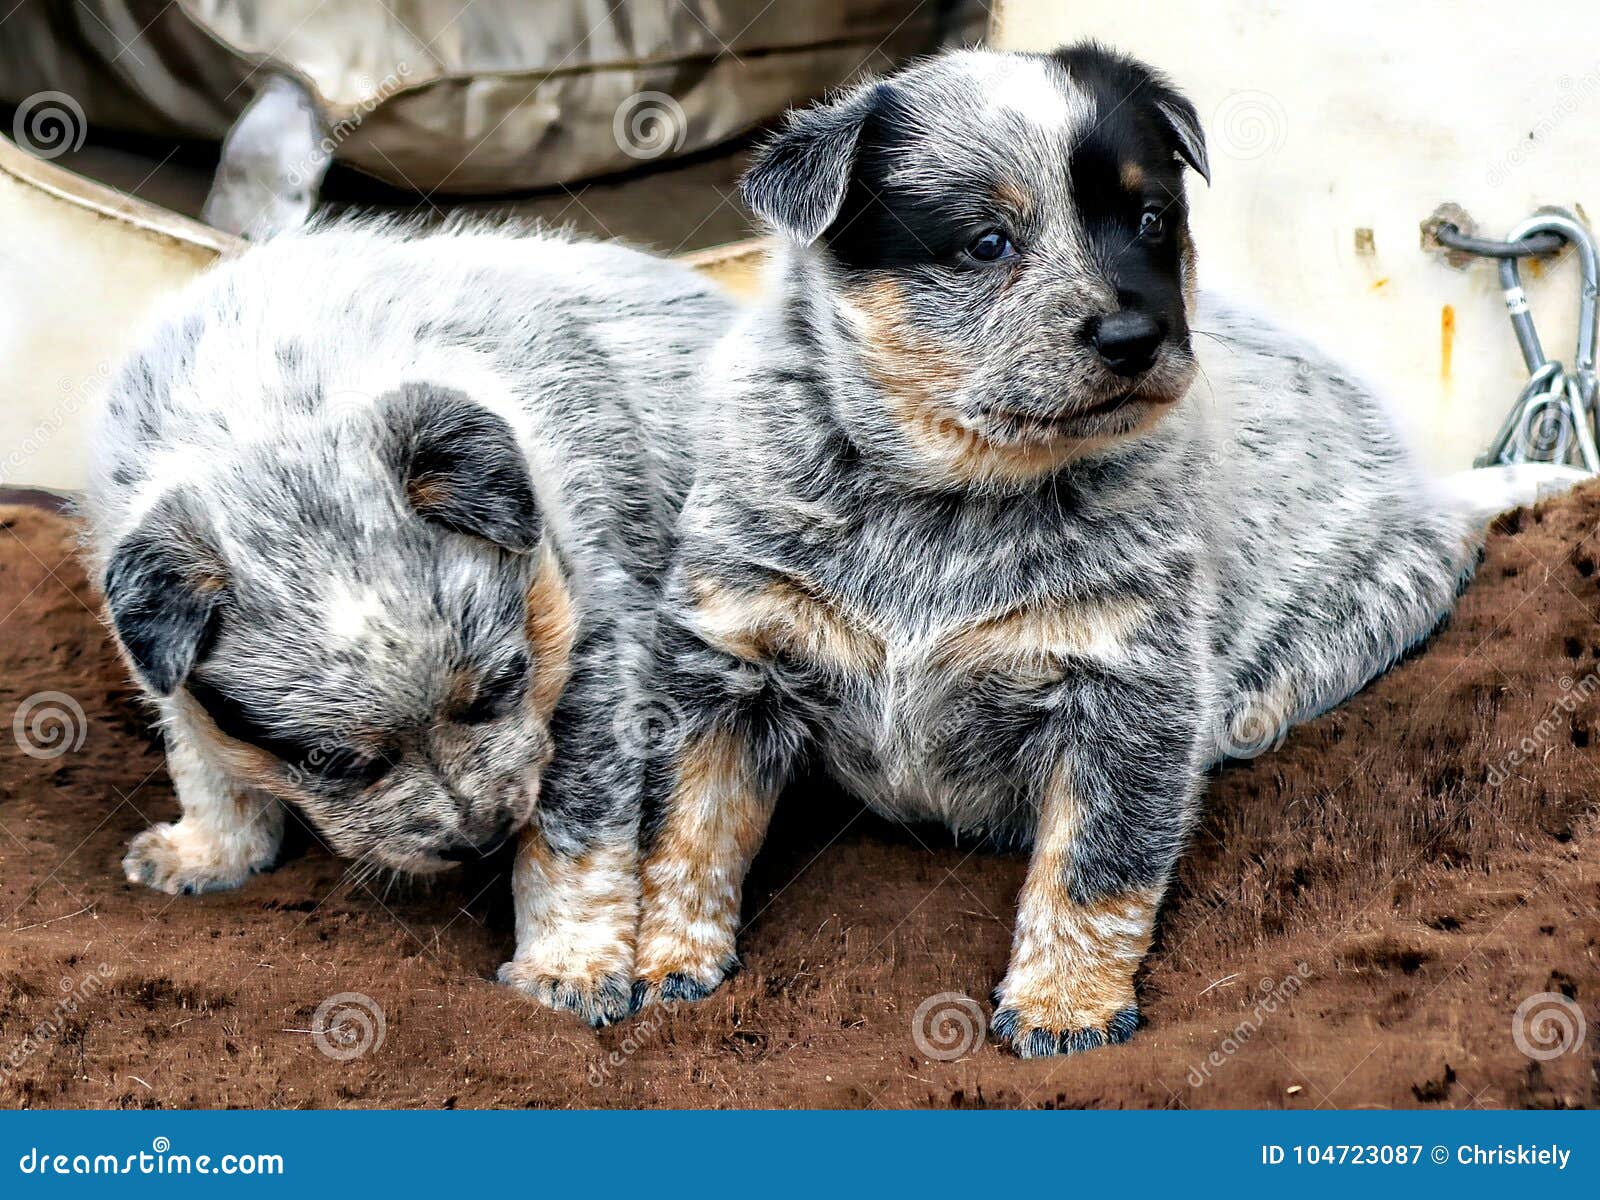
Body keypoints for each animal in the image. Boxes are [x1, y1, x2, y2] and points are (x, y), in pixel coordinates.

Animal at [86, 220, 732, 1030]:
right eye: (332, 762)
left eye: (502, 688)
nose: (482, 839)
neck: (267, 408)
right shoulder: (169, 674)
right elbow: (211, 769)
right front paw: (208, 853)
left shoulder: (600, 656)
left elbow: (573, 838)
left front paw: (568, 969)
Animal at [627, 44, 1574, 1062]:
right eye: (986, 243)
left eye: (1152, 221)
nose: (1135, 334)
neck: (949, 498)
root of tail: (1431, 492)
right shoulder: (731, 649)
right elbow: (688, 829)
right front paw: (662, 962)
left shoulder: (1128, 683)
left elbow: (1093, 863)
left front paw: (1063, 1006)